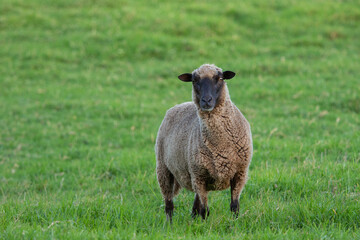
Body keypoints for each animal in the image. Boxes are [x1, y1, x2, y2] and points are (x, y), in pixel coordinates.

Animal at [155, 63, 253, 221]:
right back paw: (169, 224)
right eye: (194, 80)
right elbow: (205, 210)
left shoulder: (240, 173)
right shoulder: (199, 175)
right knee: (169, 204)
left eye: (220, 78)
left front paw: (235, 223)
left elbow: (234, 206)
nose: (206, 101)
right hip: (164, 169)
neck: (221, 145)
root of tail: (178, 105)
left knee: (195, 206)